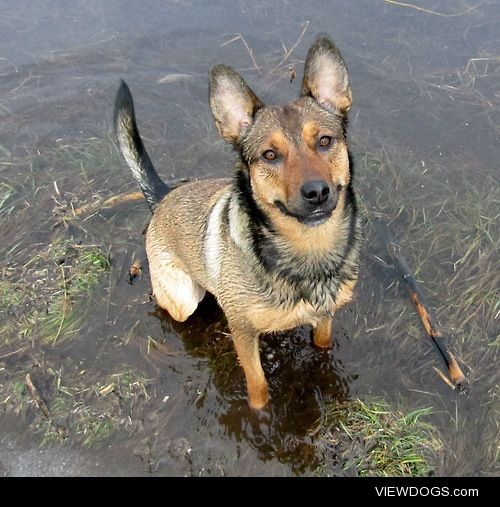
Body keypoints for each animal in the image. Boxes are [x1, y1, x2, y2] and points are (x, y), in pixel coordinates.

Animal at [115, 34, 362, 408]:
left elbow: (322, 346)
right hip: (183, 299)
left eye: (324, 141)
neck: (306, 250)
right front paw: (259, 414)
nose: (317, 192)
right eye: (270, 155)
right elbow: (257, 385)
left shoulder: (325, 317)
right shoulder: (244, 332)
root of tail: (164, 195)